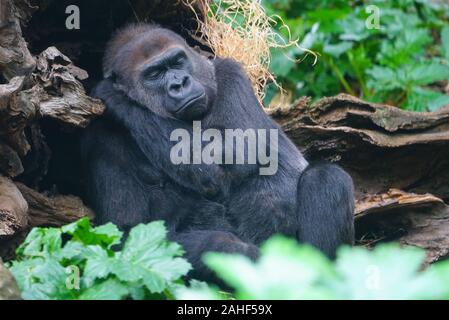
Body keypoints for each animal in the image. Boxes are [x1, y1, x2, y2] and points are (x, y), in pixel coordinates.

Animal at [81, 24, 354, 280]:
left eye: (177, 61)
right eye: (155, 74)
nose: (179, 83)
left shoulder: (230, 74)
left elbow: (230, 159)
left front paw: (117, 96)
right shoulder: (103, 135)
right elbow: (125, 233)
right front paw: (231, 250)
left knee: (325, 178)